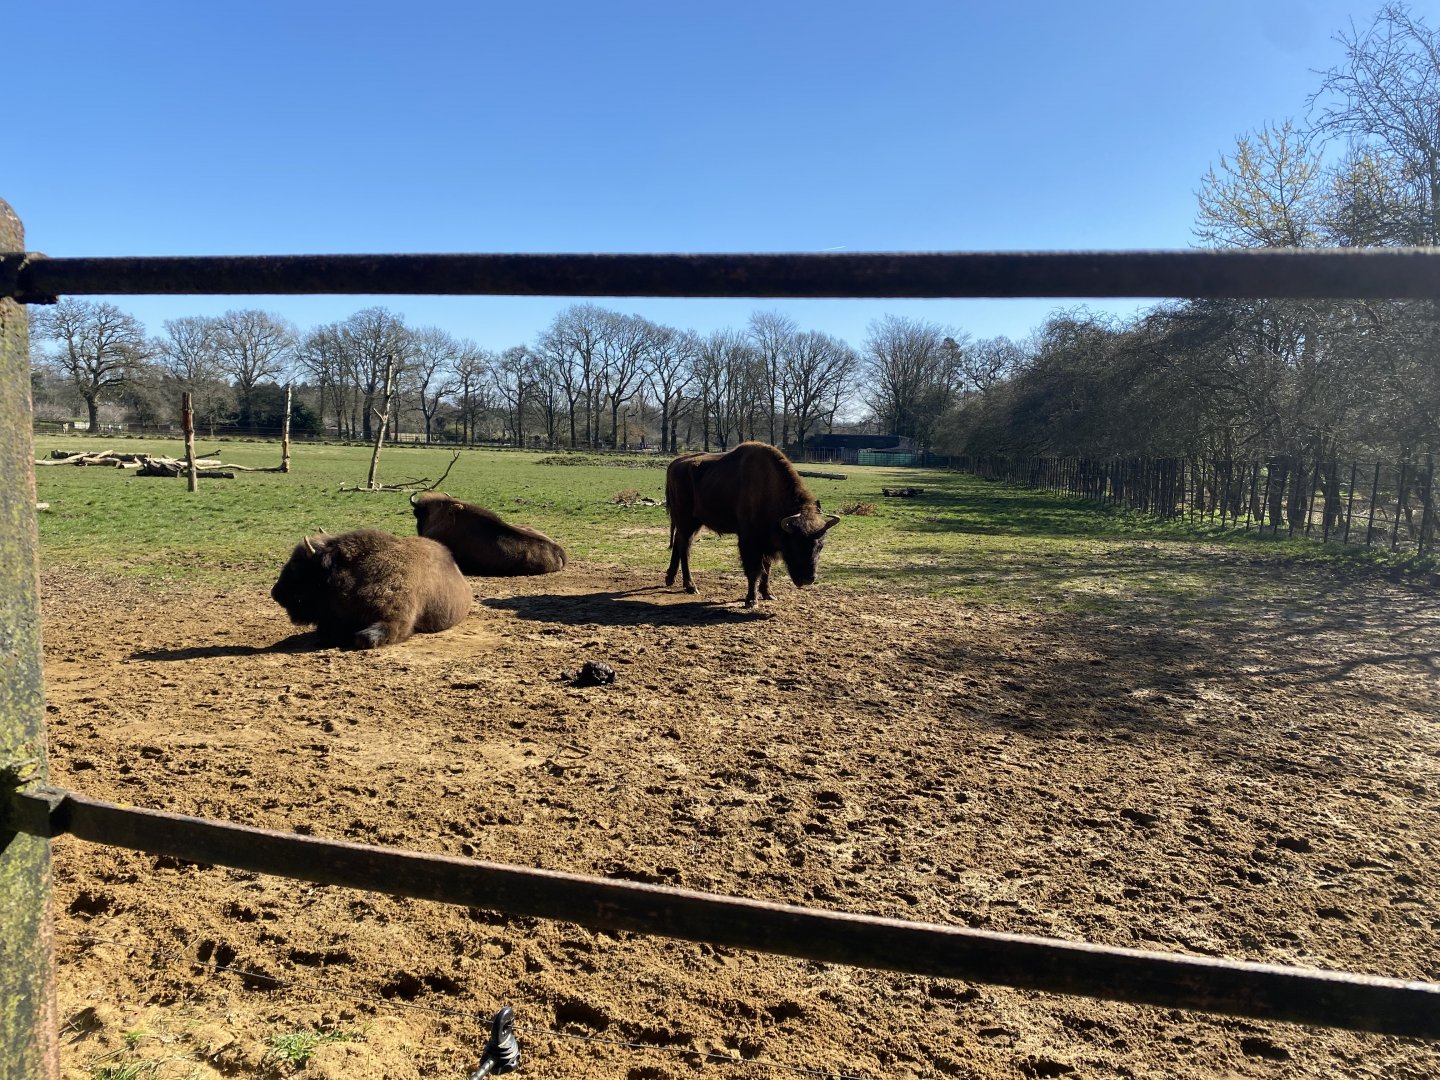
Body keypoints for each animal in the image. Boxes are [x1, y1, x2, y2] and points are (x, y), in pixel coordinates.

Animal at [665, 441, 839, 607]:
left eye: (820, 546)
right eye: (795, 544)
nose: (808, 578)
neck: (769, 488)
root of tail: (674, 464)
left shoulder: (767, 542)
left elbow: (766, 568)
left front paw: (768, 594)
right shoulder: (749, 540)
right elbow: (754, 570)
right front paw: (751, 600)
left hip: (693, 523)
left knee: (679, 543)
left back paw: (670, 579)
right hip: (686, 520)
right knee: (685, 548)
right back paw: (691, 586)